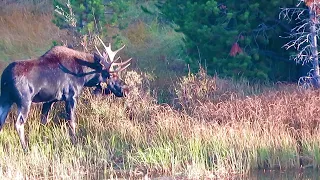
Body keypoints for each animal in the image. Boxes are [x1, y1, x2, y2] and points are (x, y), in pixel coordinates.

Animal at [0, 37, 131, 151]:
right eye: (112, 75)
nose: (126, 90)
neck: (85, 76)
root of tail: (5, 78)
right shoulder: (71, 97)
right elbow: (71, 122)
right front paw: (75, 142)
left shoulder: (49, 100)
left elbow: (44, 121)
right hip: (24, 101)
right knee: (19, 124)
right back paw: (25, 148)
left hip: (5, 100)